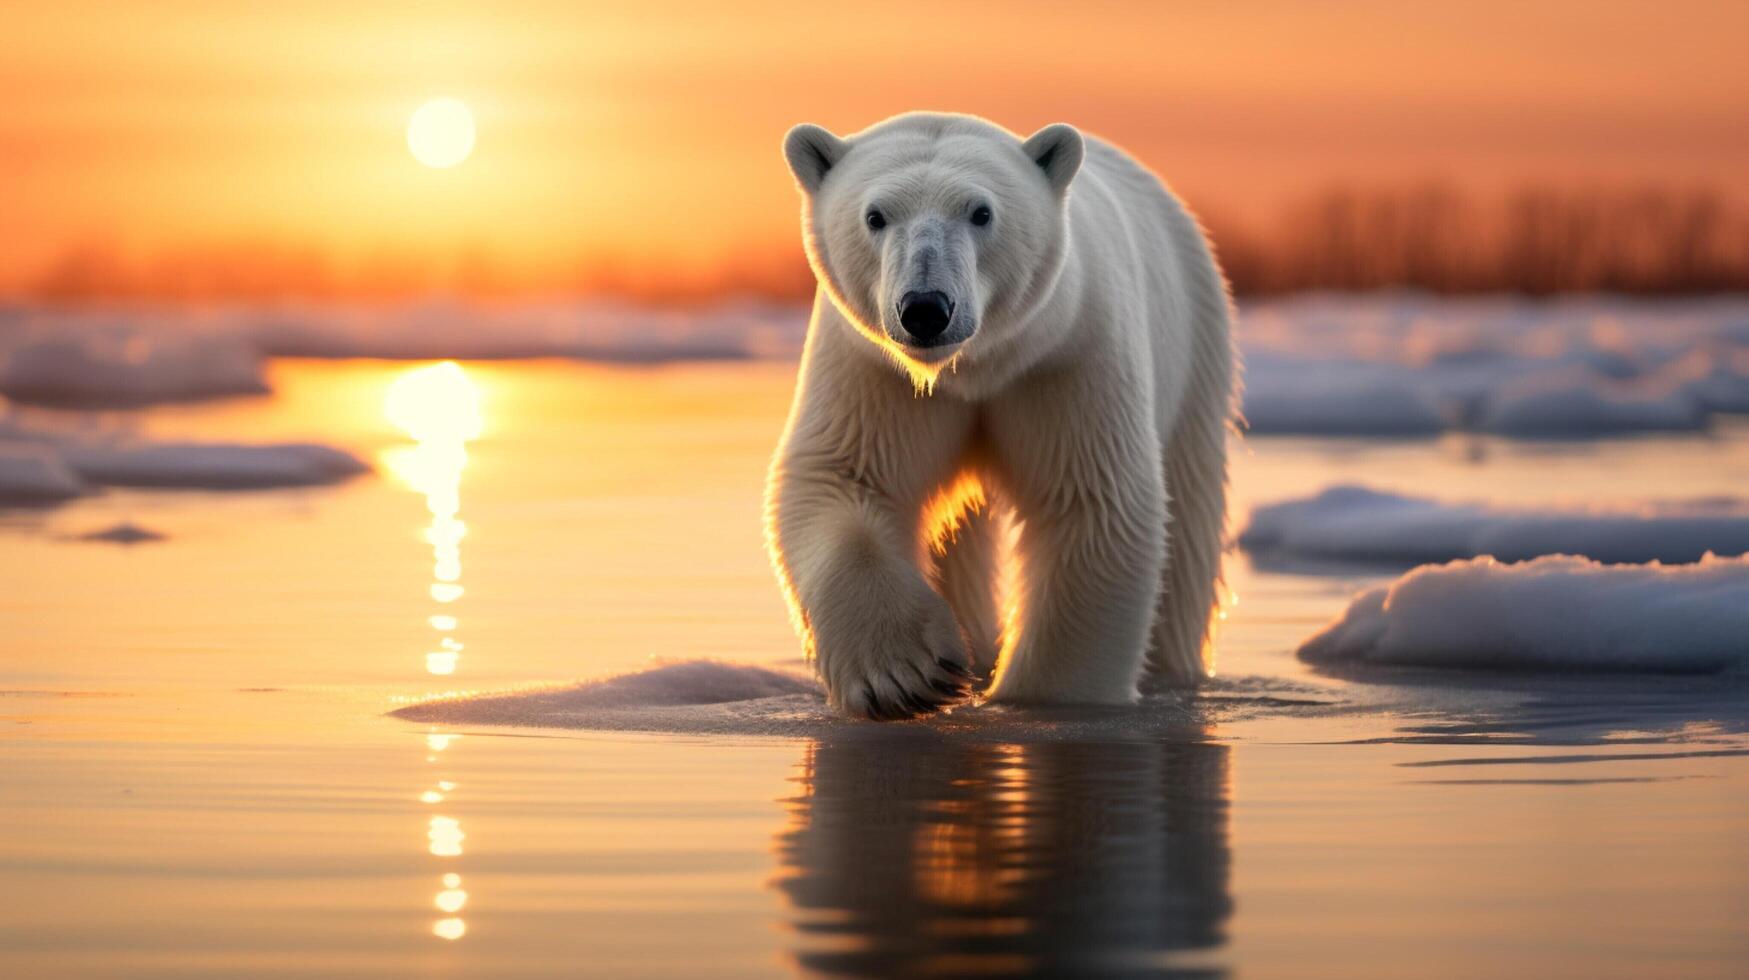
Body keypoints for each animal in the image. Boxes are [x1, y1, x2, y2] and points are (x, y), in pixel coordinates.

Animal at [762, 112, 1231, 721]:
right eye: (875, 215)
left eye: (981, 212)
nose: (926, 308)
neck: (975, 368)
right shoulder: (874, 371)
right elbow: (844, 476)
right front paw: (907, 675)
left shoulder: (1062, 360)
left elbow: (1090, 504)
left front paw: (1044, 701)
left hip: (1196, 343)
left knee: (1189, 519)